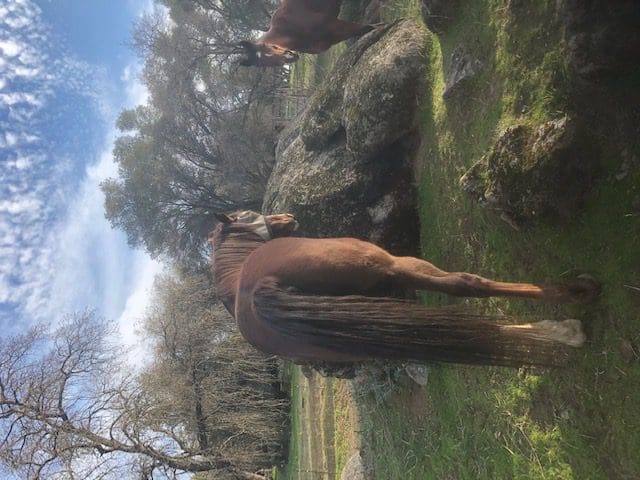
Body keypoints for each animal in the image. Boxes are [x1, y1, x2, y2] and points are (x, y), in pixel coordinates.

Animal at [210, 210, 600, 368]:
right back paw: (572, 295)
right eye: (247, 214)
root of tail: (258, 290)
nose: (288, 218)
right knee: (465, 285)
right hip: (396, 266)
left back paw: (562, 331)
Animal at [236, 0, 376, 66]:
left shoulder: (333, 25)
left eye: (268, 49)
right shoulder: (329, 39)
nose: (289, 58)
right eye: (261, 65)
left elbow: (363, 29)